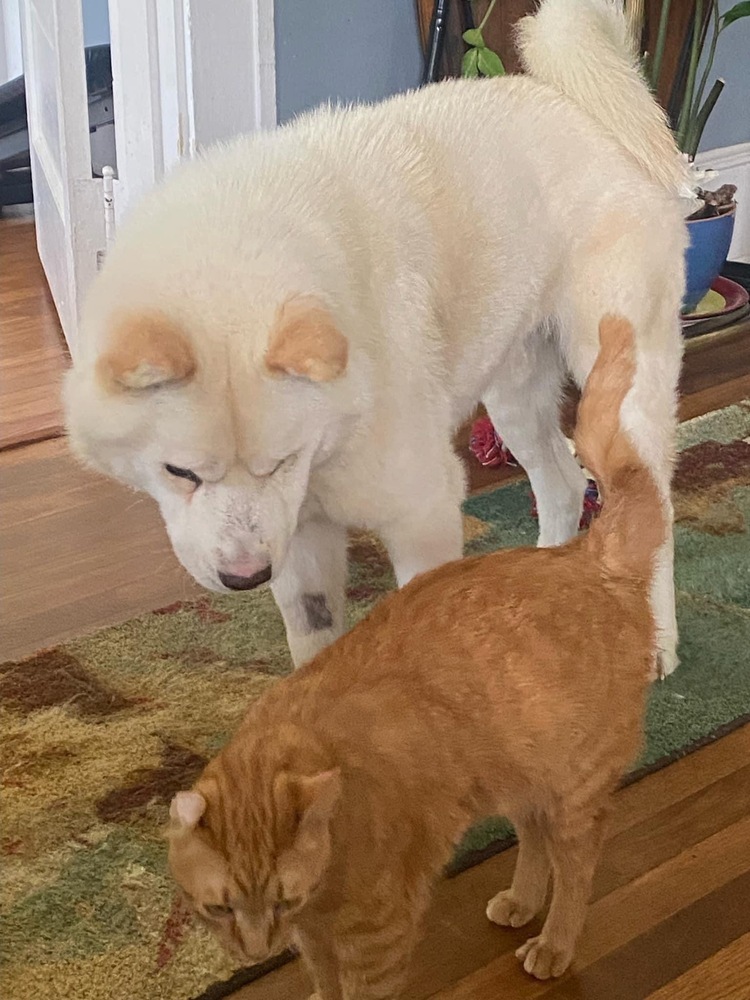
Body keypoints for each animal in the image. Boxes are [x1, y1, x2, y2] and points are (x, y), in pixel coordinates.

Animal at [67, 0, 692, 676]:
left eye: (280, 461)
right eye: (179, 472)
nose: (245, 577)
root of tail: (587, 108)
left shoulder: (421, 510)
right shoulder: (299, 540)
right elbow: (312, 644)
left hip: (620, 388)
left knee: (649, 508)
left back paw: (657, 642)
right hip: (515, 395)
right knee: (564, 483)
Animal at [169, 316, 664, 996]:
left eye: (280, 899)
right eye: (218, 908)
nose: (256, 946)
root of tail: (586, 555)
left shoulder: (378, 935)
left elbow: (358, 989)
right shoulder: (315, 936)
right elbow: (322, 979)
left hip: (573, 792)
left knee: (577, 864)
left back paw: (555, 943)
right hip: (521, 782)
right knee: (535, 840)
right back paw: (521, 901)